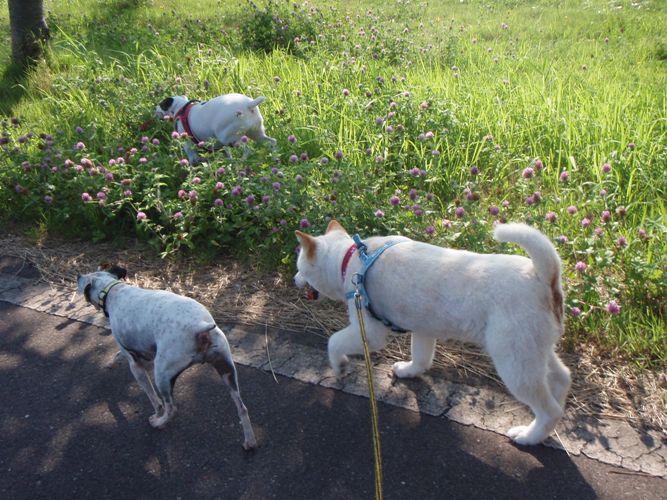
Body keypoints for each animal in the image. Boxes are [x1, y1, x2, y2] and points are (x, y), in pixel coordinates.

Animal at [76, 265, 257, 450]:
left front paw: (156, 414)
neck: (113, 290)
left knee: (171, 408)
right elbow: (117, 354)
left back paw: (159, 423)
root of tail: (199, 327)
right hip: (226, 370)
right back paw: (249, 441)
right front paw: (109, 363)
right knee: (242, 408)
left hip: (162, 375)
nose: (77, 276)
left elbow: (153, 399)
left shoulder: (135, 365)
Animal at [294, 220, 571, 446]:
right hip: (534, 351)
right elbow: (421, 359)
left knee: (550, 411)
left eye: (300, 267)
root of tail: (542, 277)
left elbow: (333, 342)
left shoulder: (370, 332)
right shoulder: (423, 330)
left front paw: (339, 366)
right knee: (562, 378)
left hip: (515, 365)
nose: (295, 279)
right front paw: (409, 371)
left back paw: (529, 435)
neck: (349, 259)